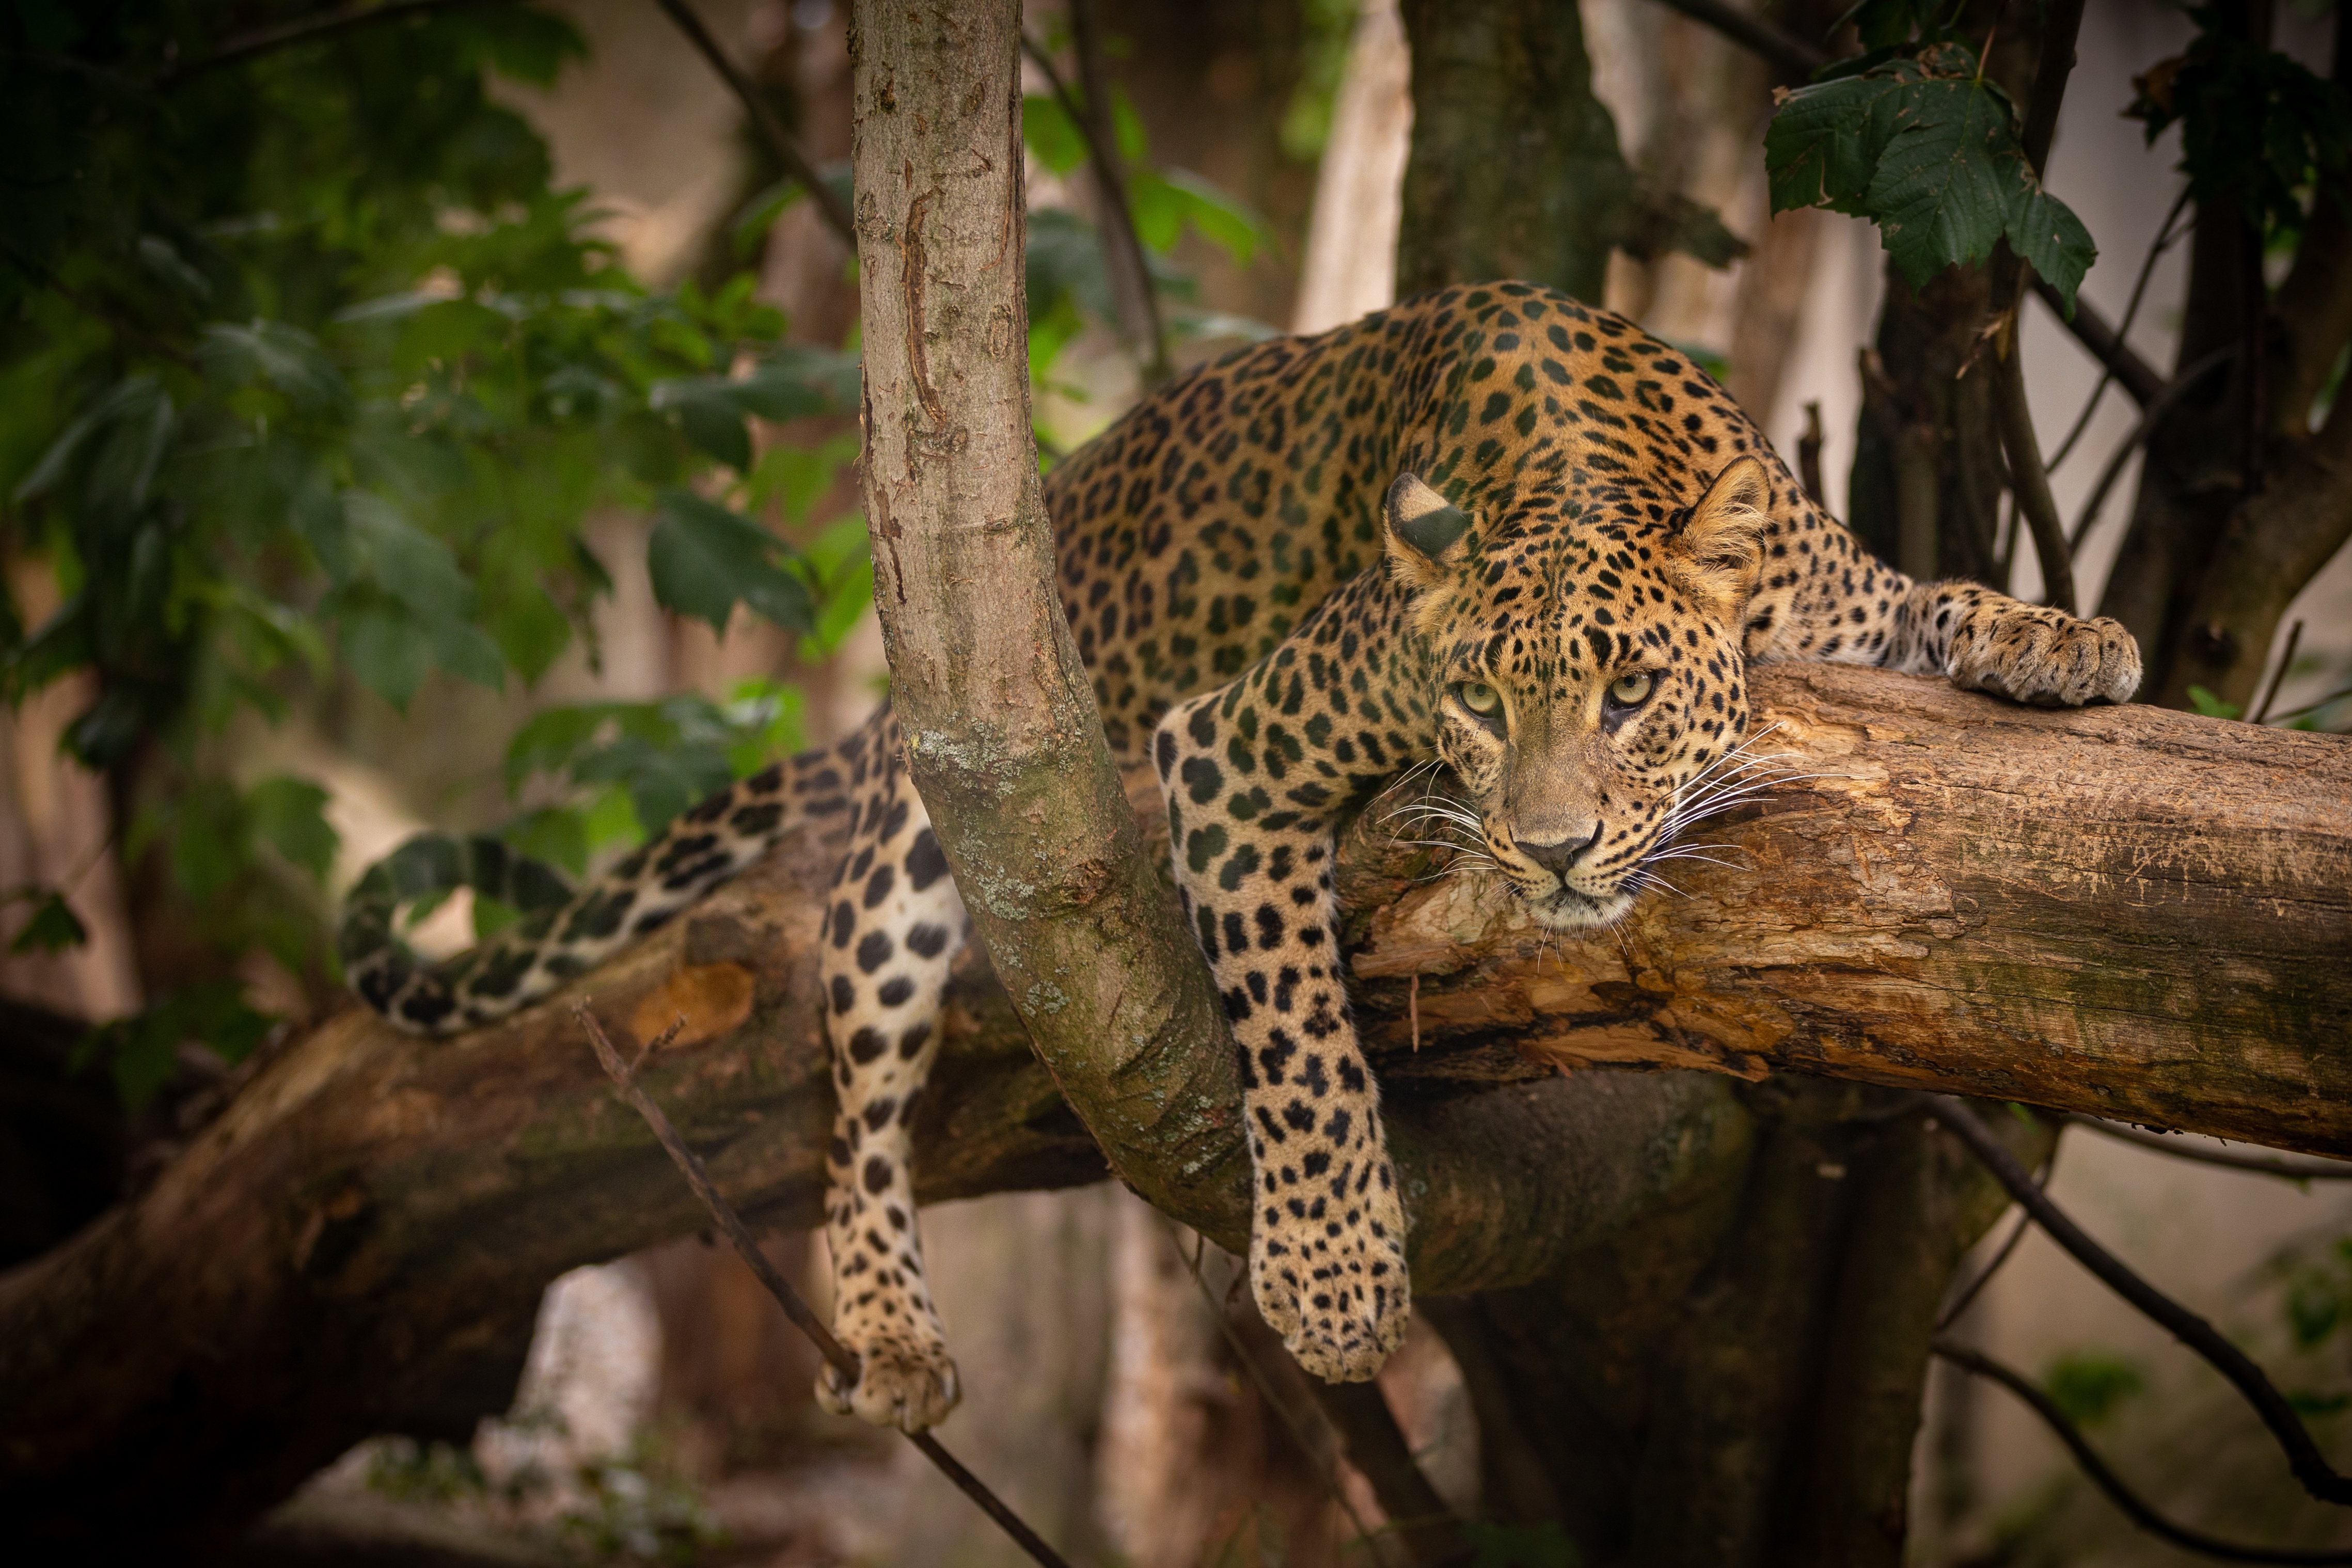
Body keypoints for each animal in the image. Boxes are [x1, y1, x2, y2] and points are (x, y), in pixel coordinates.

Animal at [341, 278, 2145, 1438]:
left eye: (1630, 693)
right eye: (1476, 702)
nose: (1553, 849)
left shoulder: (1832, 594)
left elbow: (1931, 599)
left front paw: (2065, 635)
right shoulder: (1230, 748)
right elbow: (1299, 1044)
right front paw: (1337, 1278)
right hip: (933, 825)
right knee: (850, 1081)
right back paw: (891, 1323)